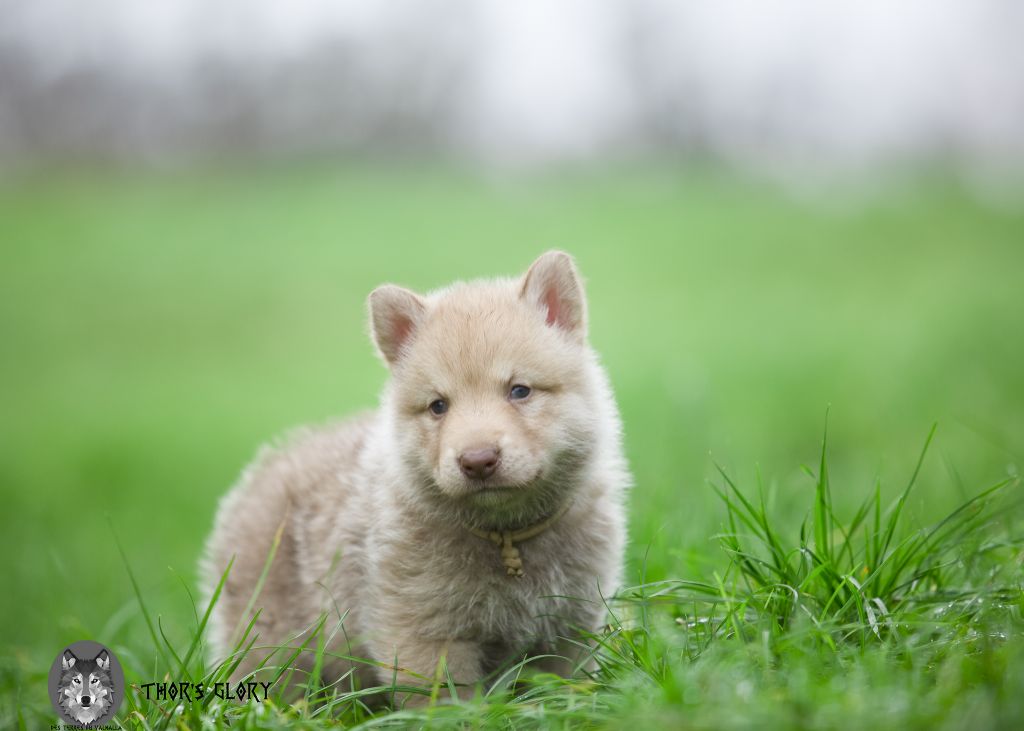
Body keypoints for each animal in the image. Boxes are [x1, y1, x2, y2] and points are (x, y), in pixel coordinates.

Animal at [201, 251, 630, 700]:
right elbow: (449, 702)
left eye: (520, 390)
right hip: (270, 648)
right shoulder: (423, 636)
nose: (478, 460)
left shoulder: (570, 627)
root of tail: (265, 470)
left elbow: (562, 689)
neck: (507, 540)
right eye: (438, 406)